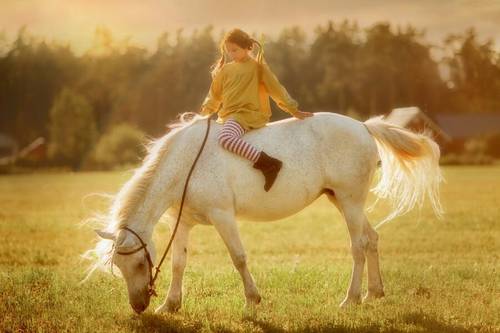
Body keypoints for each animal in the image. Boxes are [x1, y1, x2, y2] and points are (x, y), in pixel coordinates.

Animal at [85, 111, 442, 312]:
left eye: (135, 263)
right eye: (118, 265)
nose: (138, 306)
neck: (186, 163)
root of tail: (363, 127)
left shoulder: (222, 216)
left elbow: (239, 258)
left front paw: (252, 300)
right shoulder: (183, 222)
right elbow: (178, 263)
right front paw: (170, 305)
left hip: (350, 201)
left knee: (358, 246)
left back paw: (351, 299)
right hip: (340, 200)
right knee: (372, 238)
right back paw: (374, 293)